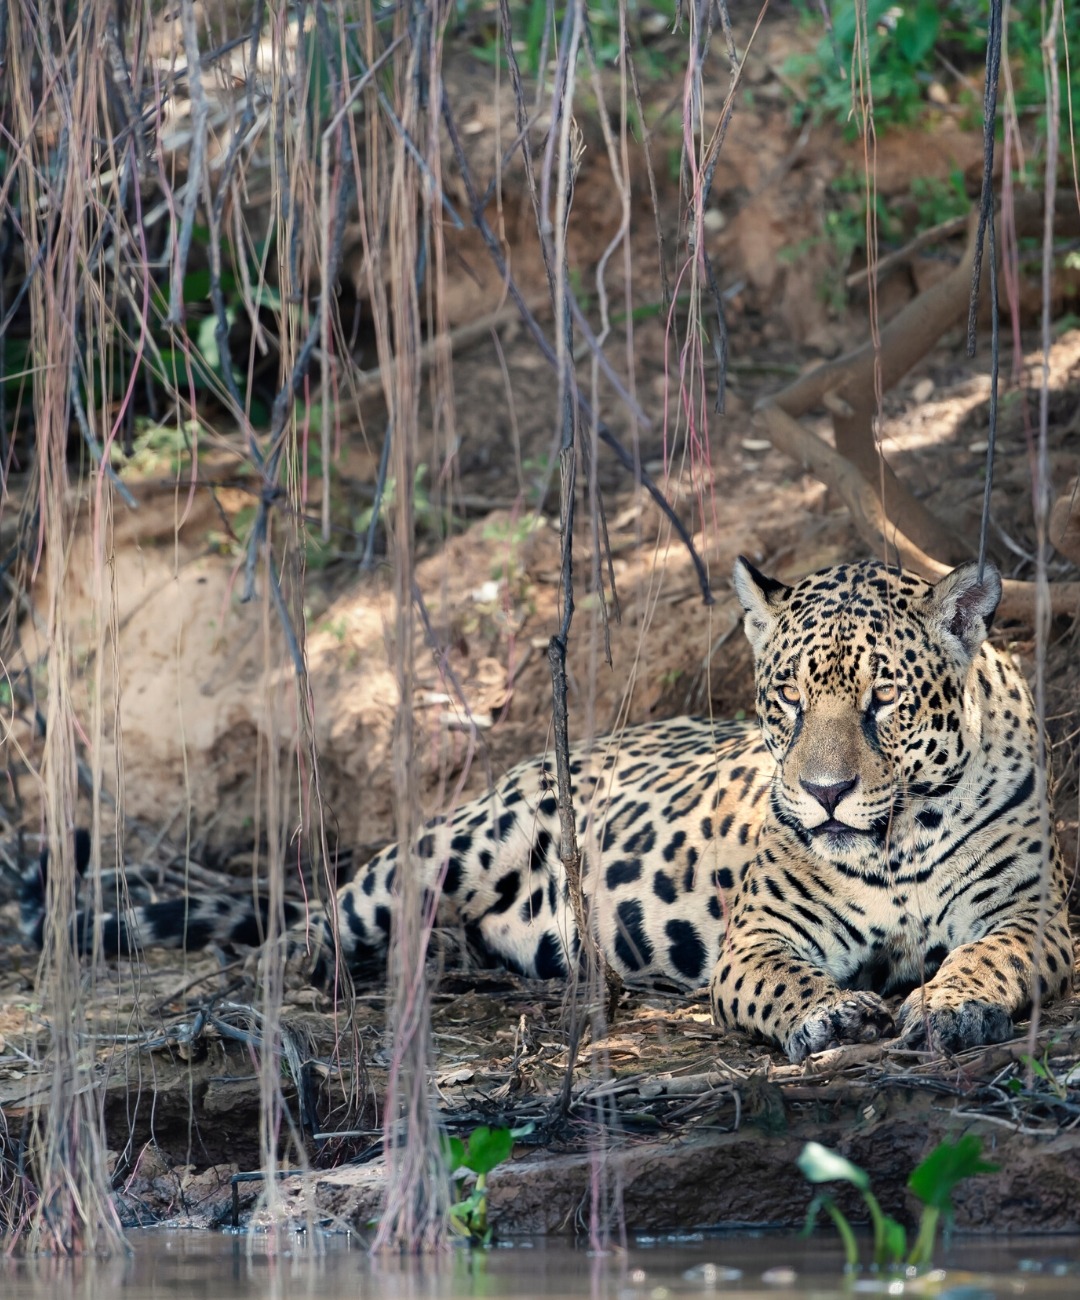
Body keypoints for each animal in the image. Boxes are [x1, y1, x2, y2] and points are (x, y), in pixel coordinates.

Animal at [21, 557, 1074, 1062]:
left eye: (881, 701)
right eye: (786, 698)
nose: (822, 793)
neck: (894, 844)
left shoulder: (1037, 915)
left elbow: (989, 955)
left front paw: (948, 1004)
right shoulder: (760, 938)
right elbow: (783, 980)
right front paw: (829, 1013)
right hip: (453, 845)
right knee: (310, 921)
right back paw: (292, 978)